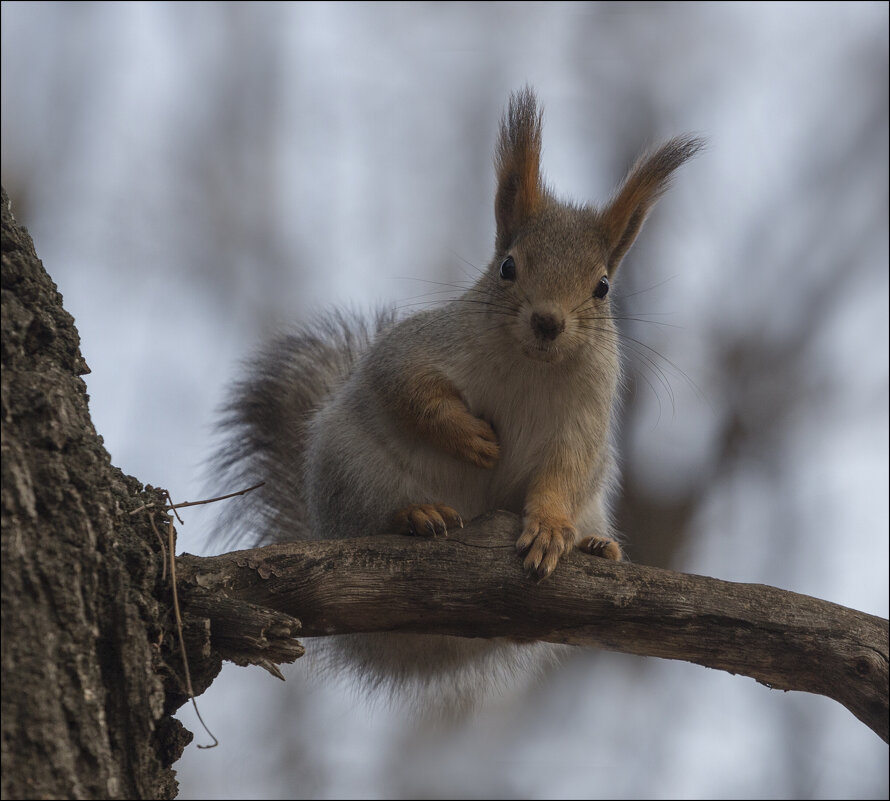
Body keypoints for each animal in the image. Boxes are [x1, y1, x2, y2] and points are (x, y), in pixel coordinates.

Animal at [215, 89, 700, 708]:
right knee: (365, 523)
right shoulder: (416, 348)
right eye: (508, 266)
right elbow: (409, 390)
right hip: (348, 470)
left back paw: (595, 547)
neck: (531, 366)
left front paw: (549, 528)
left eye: (602, 287)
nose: (548, 322)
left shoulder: (587, 419)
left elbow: (565, 471)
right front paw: (472, 438)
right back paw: (415, 516)